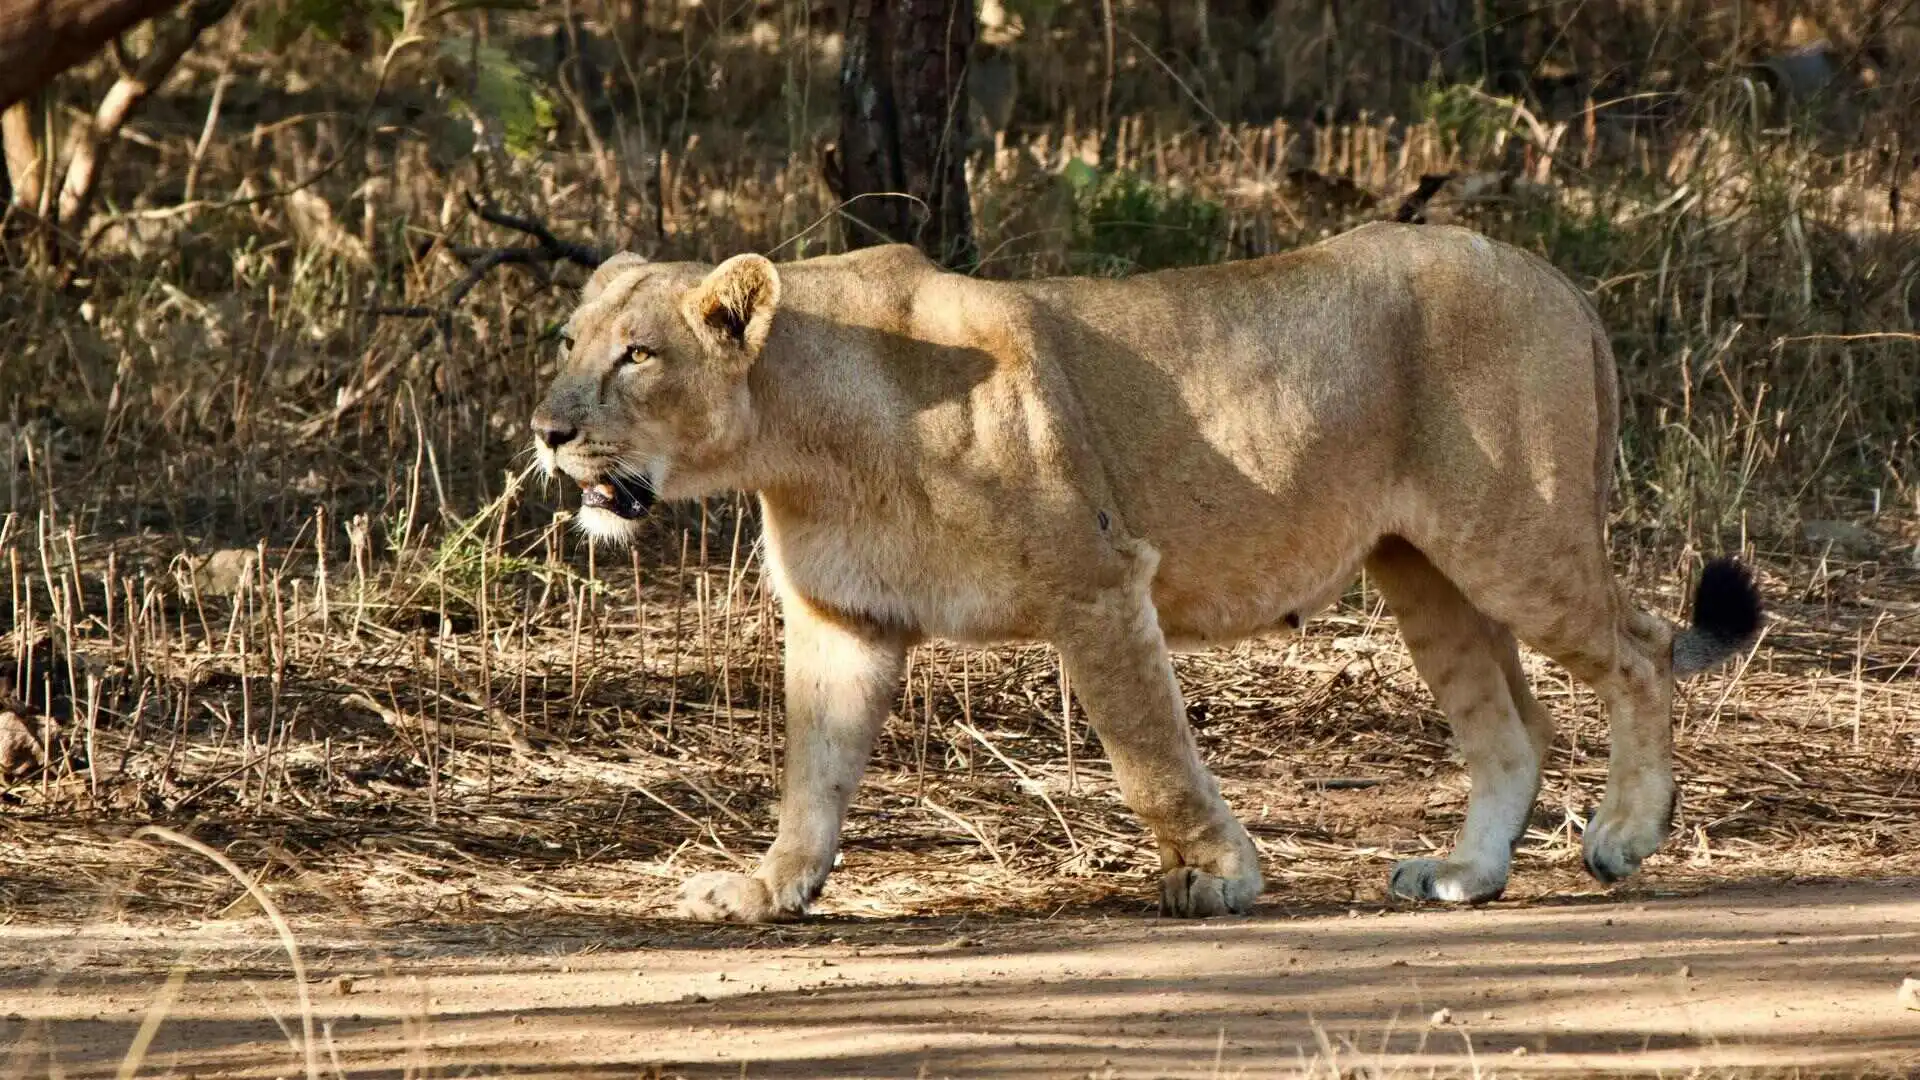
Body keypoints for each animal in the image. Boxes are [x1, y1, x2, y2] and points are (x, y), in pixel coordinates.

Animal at [531, 222, 1762, 922]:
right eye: (567, 343)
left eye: (637, 355)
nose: (546, 431)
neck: (802, 437)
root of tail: (1557, 280)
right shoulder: (845, 619)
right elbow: (812, 780)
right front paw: (770, 891)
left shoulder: (1099, 580)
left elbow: (1150, 756)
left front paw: (1220, 877)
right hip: (1421, 568)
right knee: (1514, 726)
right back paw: (1467, 875)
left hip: (1512, 537)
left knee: (1641, 653)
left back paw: (1625, 835)